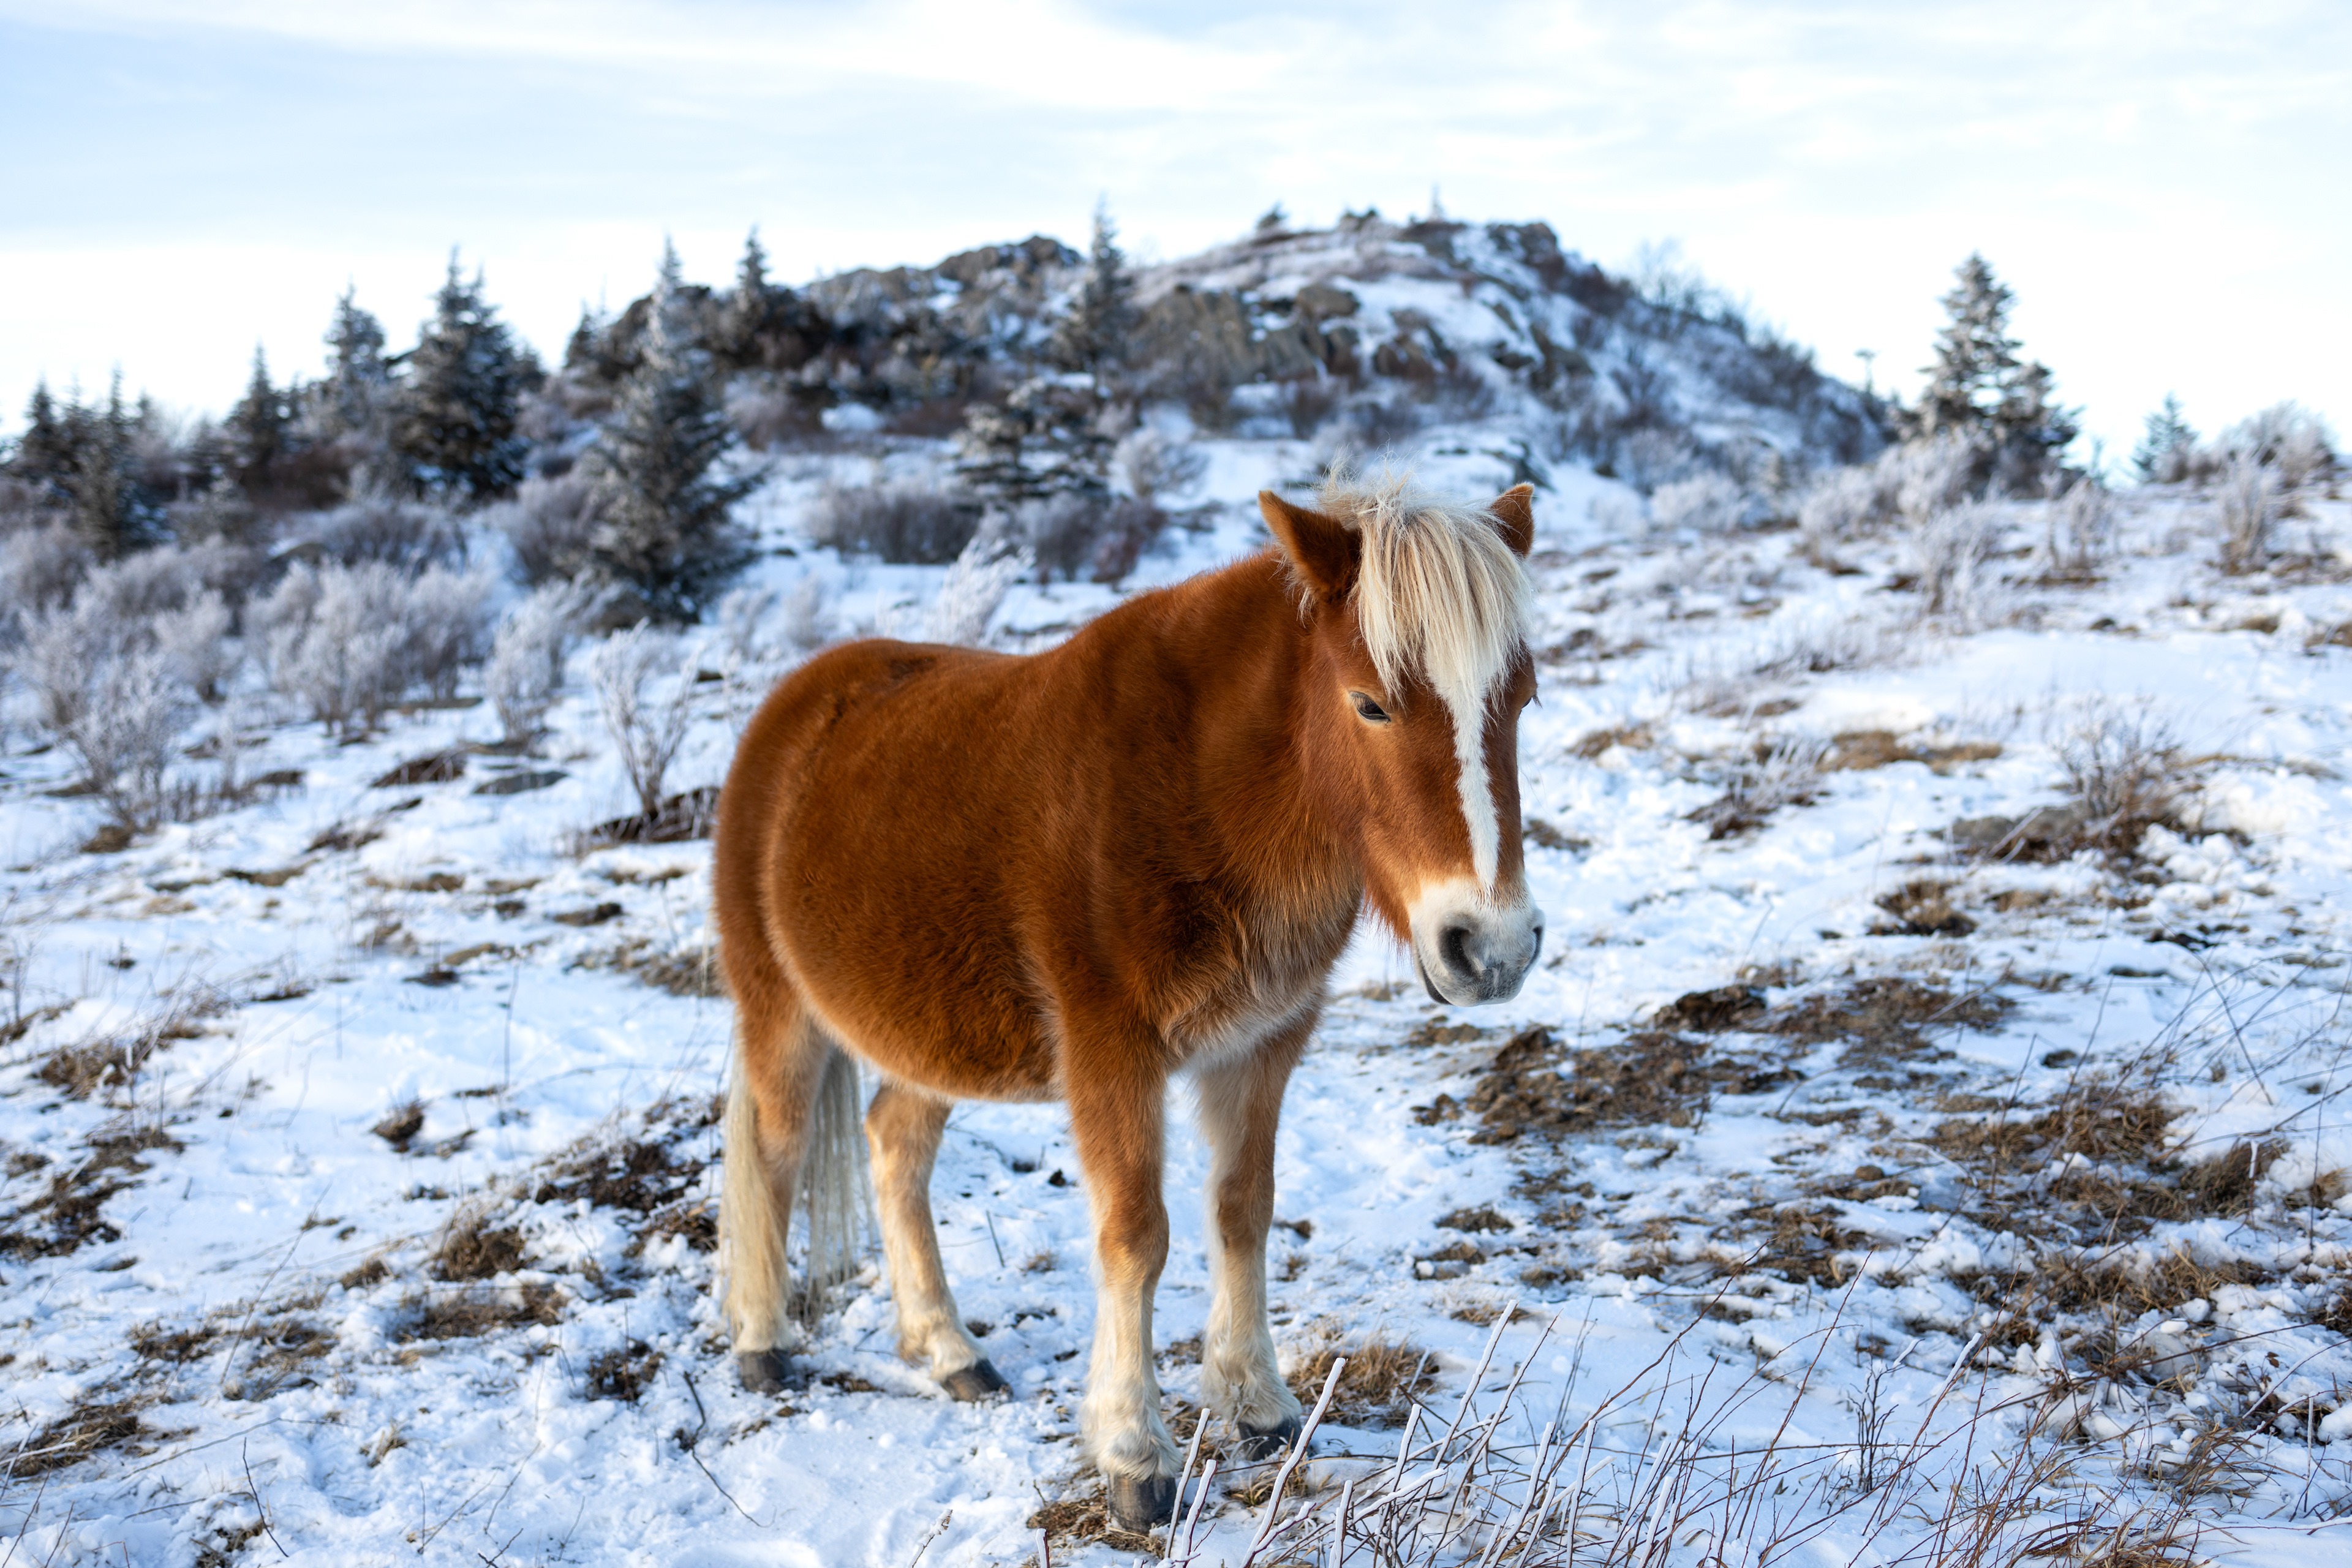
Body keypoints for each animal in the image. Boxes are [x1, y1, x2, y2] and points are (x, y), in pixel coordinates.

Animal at [713, 473, 1546, 1529]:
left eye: (1521, 699)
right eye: (1369, 704)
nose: (1493, 948)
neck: (1202, 787)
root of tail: (796, 704)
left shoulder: (1264, 1044)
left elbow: (1242, 1209)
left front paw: (1258, 1405)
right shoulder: (1114, 1054)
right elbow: (1136, 1237)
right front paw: (1134, 1456)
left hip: (929, 1037)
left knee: (894, 1149)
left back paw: (949, 1352)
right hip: (782, 1012)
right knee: (774, 1152)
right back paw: (763, 1344)